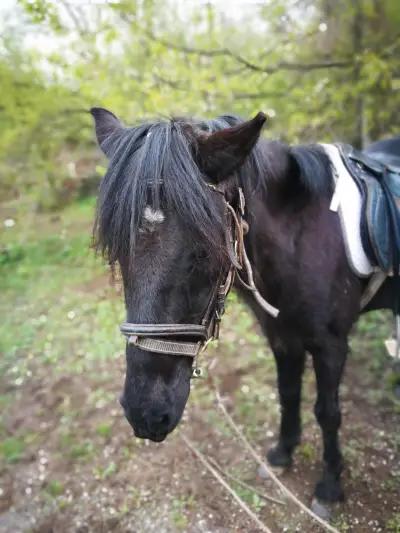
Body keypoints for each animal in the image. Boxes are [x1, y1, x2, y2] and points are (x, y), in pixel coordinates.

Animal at [91, 108, 396, 502]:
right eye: (118, 252)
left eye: (205, 252)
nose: (146, 414)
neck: (302, 237)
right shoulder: (281, 335)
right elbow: (288, 392)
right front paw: (283, 452)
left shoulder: (332, 344)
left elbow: (328, 411)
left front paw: (330, 484)